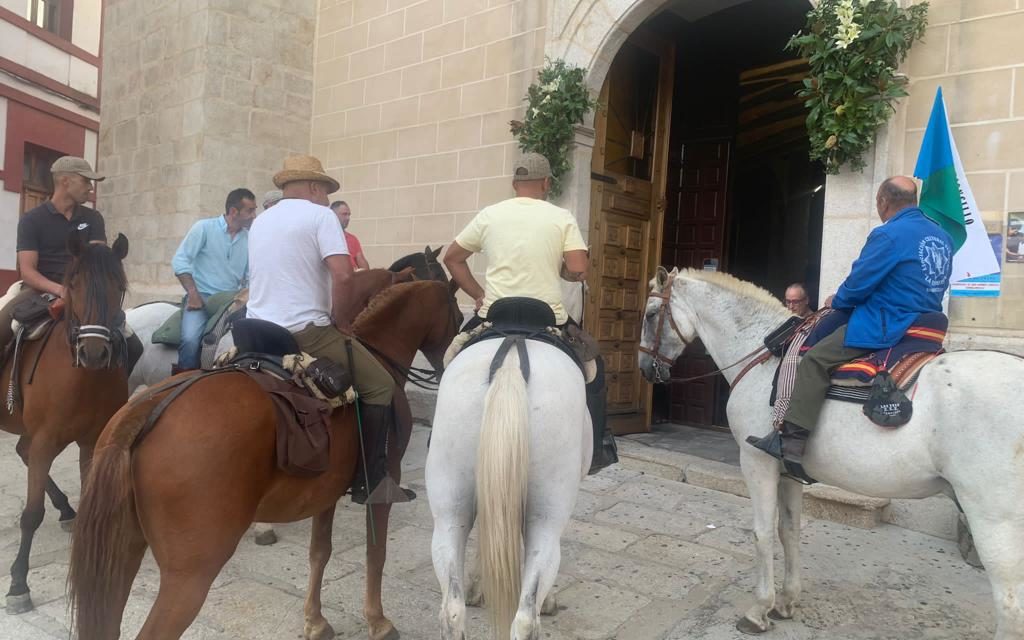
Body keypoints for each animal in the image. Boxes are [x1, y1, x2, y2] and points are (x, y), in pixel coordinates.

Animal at [0, 230, 132, 614]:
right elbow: (31, 514)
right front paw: (18, 584)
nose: (94, 352)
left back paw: (64, 509)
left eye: (119, 286)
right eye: (73, 284)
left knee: (22, 450)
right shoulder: (46, 439)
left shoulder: (91, 439)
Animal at [68, 278, 460, 638]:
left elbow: (320, 552)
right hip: (190, 576)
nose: (448, 365)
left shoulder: (325, 492)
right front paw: (377, 621)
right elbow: (375, 554)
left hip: (122, 554)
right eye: (457, 313)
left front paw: (315, 620)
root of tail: (146, 410)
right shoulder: (383, 482)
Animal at [425, 337, 593, 634]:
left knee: (453, 609)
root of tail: (511, 364)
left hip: (448, 513)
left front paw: (477, 587)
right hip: (546, 517)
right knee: (526, 616)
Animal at [638, 266, 1024, 638]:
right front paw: (786, 602)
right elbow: (789, 531)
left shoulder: (756, 462)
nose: (644, 369)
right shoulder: (787, 469)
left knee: (1009, 607)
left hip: (993, 519)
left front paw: (759, 609)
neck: (764, 357)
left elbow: (762, 533)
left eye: (651, 314)